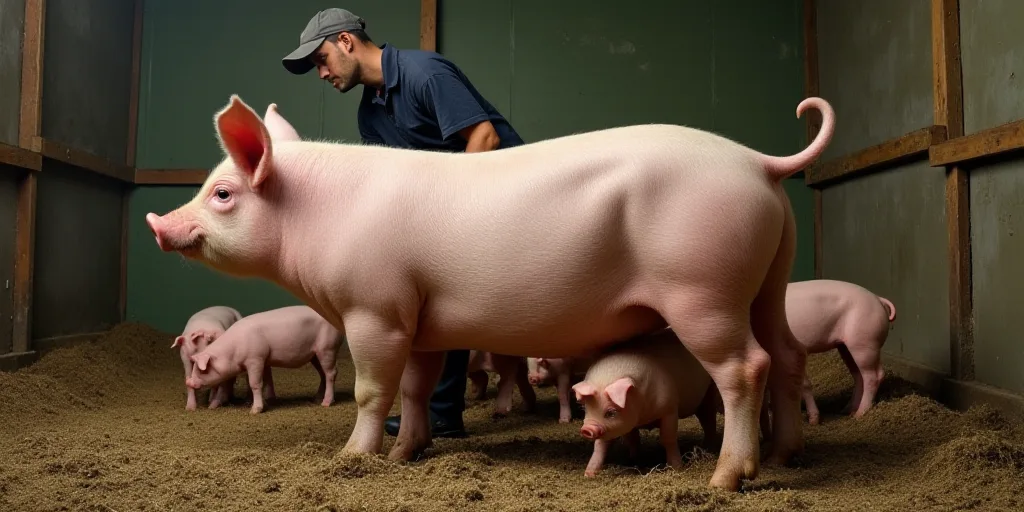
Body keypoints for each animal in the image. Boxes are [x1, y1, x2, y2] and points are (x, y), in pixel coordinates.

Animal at [186, 305, 344, 414]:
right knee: (323, 374)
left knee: (331, 373)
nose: (189, 382)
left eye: (202, 370)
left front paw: (255, 410)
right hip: (314, 355)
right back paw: (316, 399)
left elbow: (255, 383)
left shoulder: (255, 359)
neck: (233, 350)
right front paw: (253, 403)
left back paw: (326, 403)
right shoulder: (263, 359)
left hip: (327, 348)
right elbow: (263, 380)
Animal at [571, 328, 719, 477]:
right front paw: (589, 474)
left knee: (708, 420)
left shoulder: (670, 408)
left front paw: (676, 468)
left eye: (611, 412)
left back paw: (709, 448)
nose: (586, 429)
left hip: (710, 393)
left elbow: (668, 438)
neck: (642, 415)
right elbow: (609, 443)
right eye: (585, 409)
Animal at [784, 279, 896, 425]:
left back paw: (859, 414)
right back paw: (846, 411)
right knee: (858, 376)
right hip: (845, 347)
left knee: (873, 376)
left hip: (864, 342)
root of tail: (878, 299)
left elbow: (804, 384)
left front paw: (813, 422)